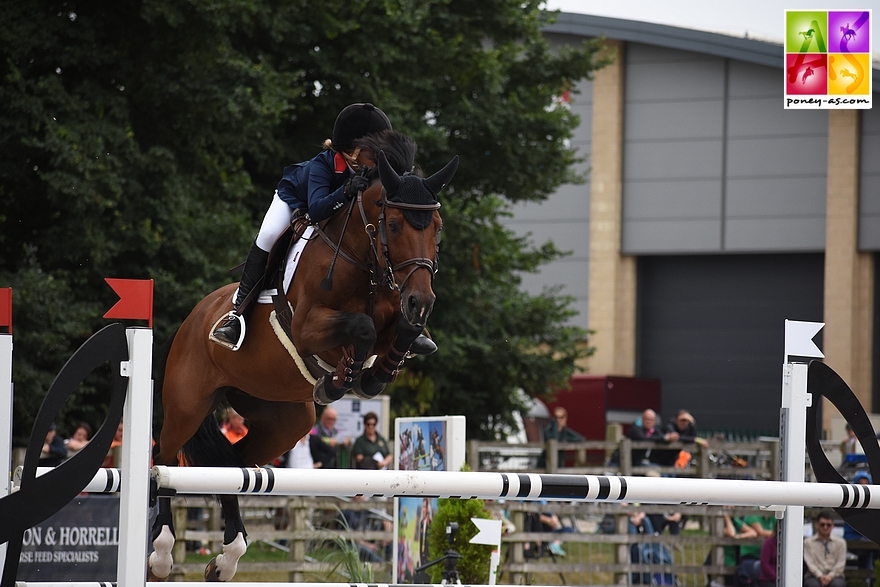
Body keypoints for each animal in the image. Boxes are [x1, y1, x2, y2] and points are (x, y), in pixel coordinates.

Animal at [148, 134, 458, 584]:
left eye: (436, 228)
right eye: (395, 225)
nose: (422, 301)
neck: (364, 260)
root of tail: (193, 319)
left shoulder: (396, 316)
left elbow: (400, 332)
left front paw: (371, 375)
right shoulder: (309, 327)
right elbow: (362, 327)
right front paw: (343, 378)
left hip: (284, 418)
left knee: (235, 467)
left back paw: (227, 557)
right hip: (187, 404)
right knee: (165, 460)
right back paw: (161, 552)